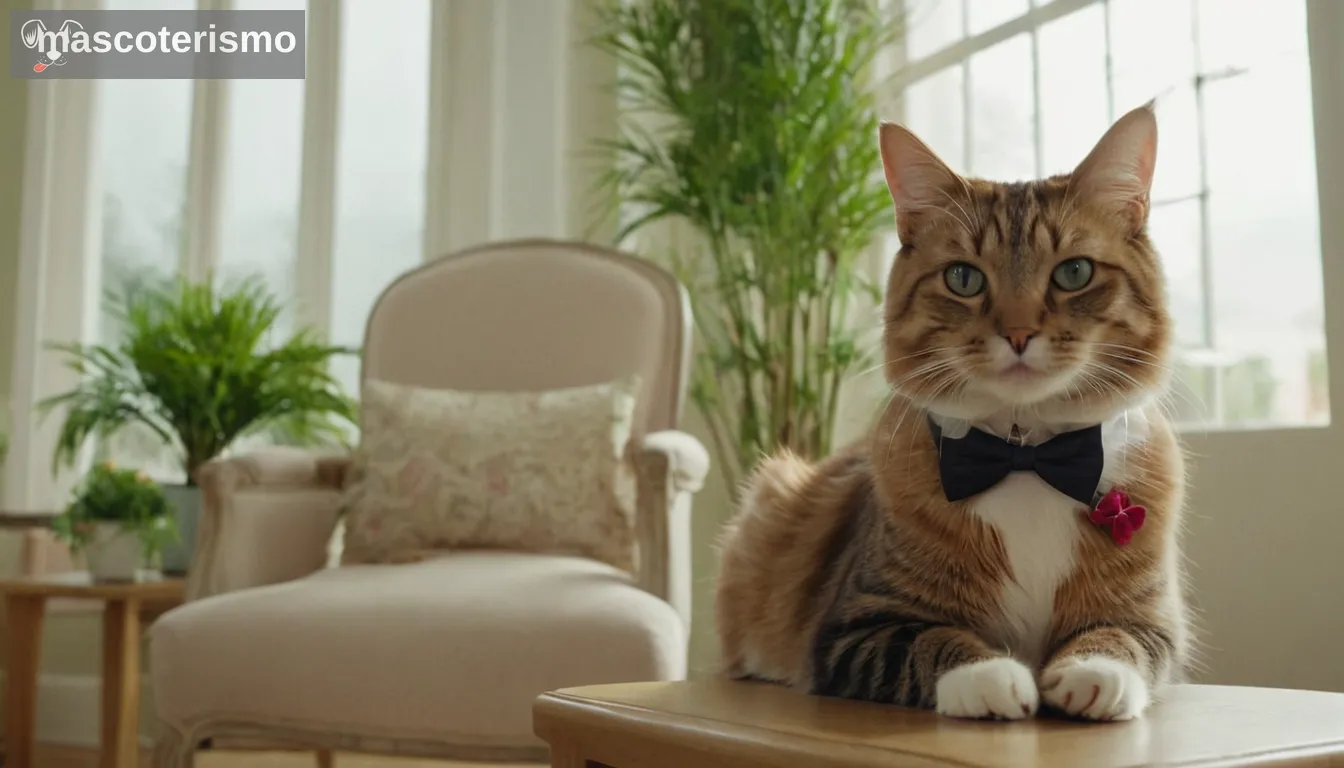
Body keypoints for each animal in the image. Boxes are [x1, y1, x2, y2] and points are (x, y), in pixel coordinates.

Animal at [715, 102, 1188, 720]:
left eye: (1074, 272)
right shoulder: (853, 625)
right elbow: (928, 641)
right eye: (963, 278)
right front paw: (990, 676)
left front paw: (1093, 669)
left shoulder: (1150, 616)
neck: (1024, 456)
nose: (1018, 334)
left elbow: (1124, 637)